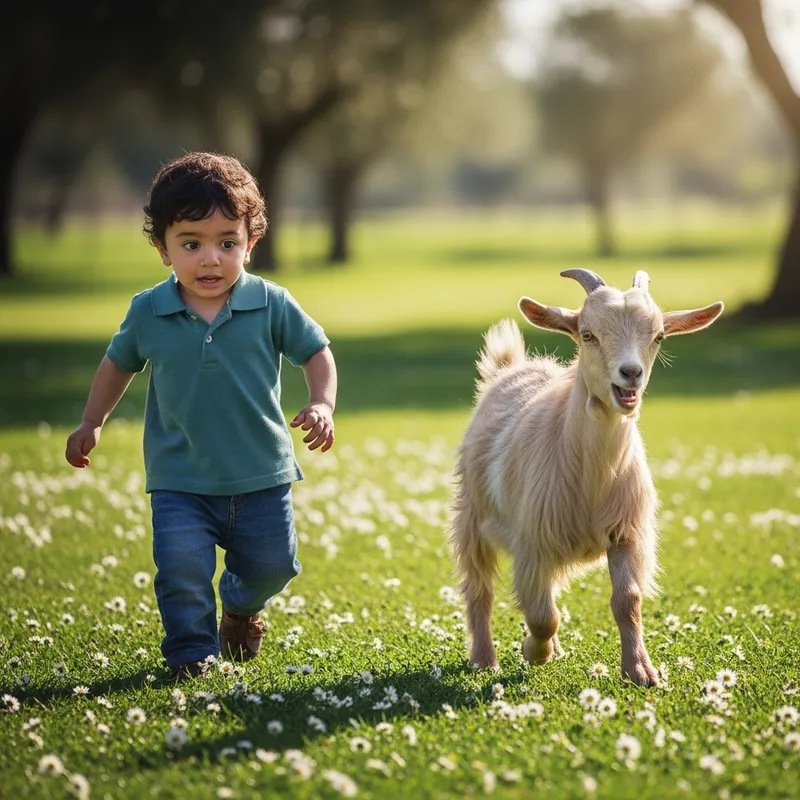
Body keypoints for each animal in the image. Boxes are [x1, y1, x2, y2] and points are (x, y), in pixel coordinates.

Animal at [450, 269, 723, 685]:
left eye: (658, 336)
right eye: (588, 334)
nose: (630, 373)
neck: (592, 477)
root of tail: (509, 368)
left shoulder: (626, 532)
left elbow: (627, 600)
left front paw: (640, 671)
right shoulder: (532, 541)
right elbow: (542, 615)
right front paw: (534, 650)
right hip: (471, 517)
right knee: (480, 590)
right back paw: (485, 659)